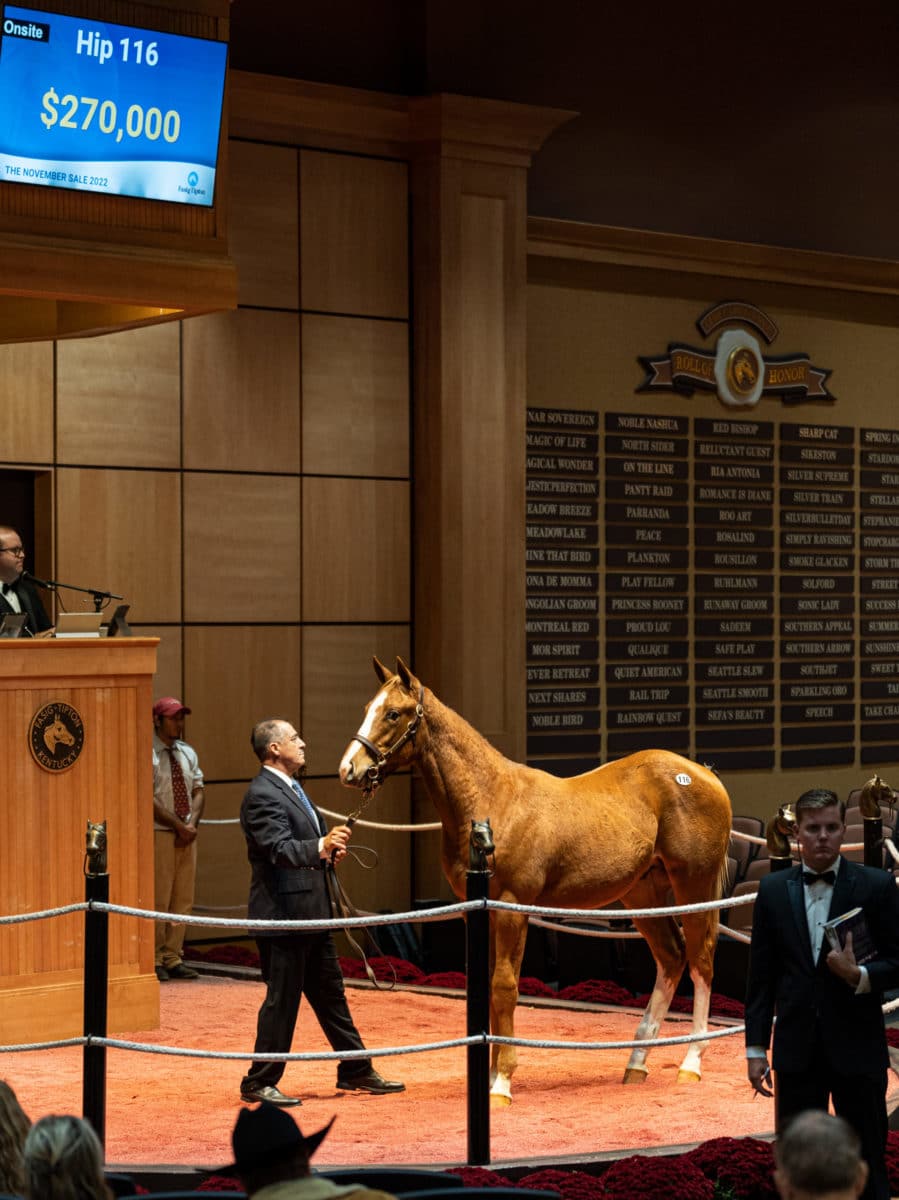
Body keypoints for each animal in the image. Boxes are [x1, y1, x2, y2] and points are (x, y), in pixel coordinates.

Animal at [340, 657, 734, 1104]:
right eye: (368, 708)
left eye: (393, 713)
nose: (348, 768)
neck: (489, 802)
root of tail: (701, 774)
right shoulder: (479, 912)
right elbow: (486, 987)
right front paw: (490, 1072)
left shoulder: (514, 907)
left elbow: (504, 986)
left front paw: (502, 1082)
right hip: (643, 893)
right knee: (671, 958)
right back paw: (636, 1063)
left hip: (694, 885)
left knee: (701, 961)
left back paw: (691, 1063)